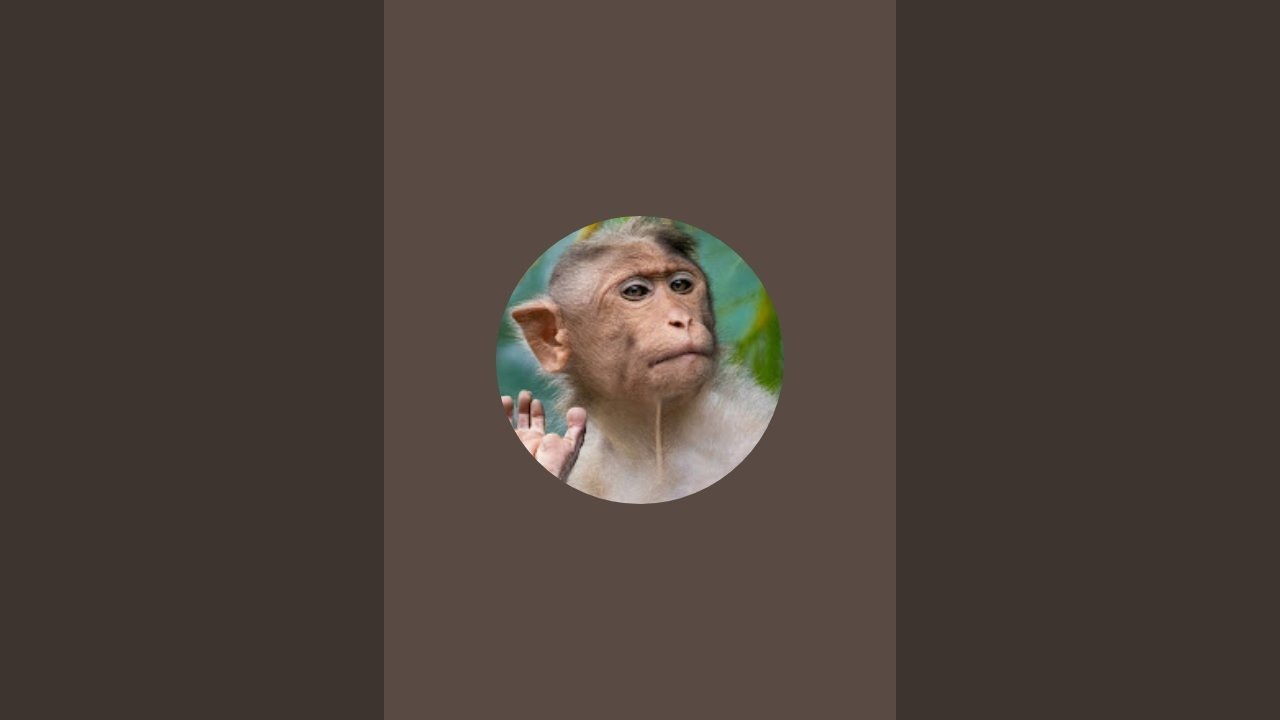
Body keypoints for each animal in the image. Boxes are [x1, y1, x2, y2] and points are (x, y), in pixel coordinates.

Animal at [500, 217, 779, 504]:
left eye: (680, 286)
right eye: (635, 291)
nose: (682, 319)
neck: (656, 443)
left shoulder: (743, 424)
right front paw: (541, 450)